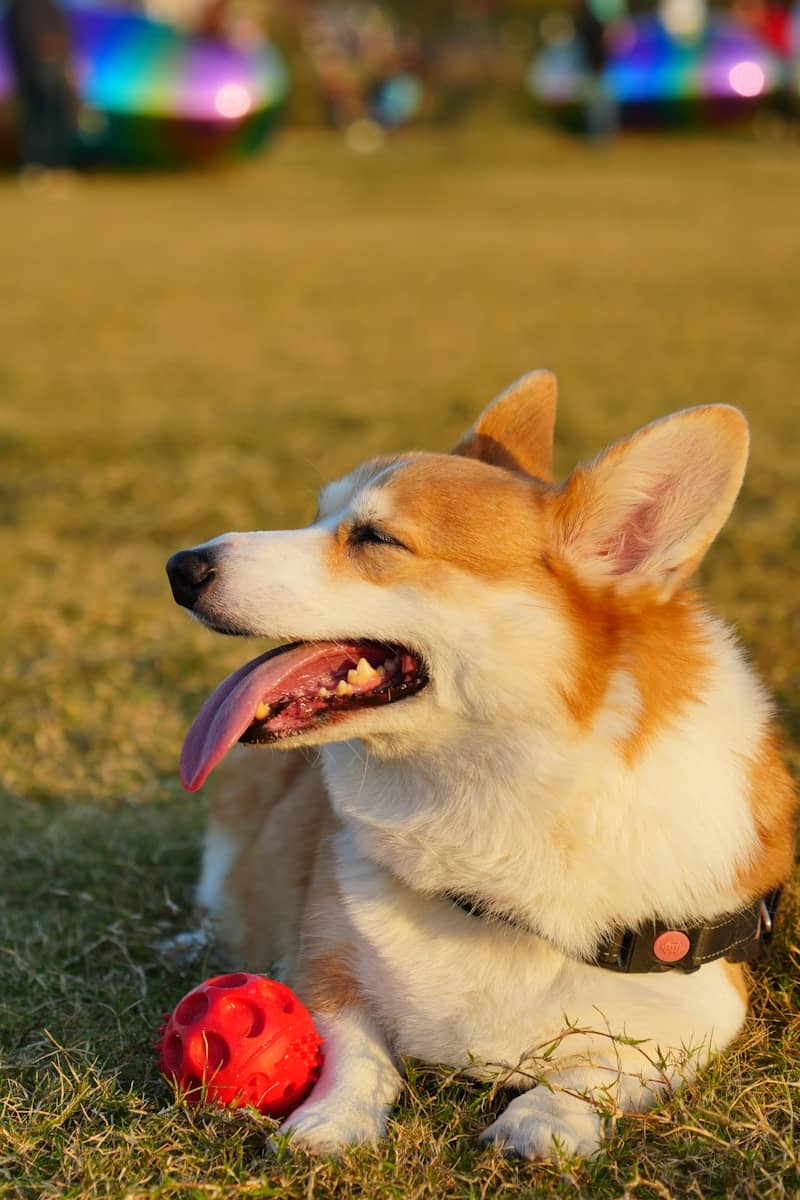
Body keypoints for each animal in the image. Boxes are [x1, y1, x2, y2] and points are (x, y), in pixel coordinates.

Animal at [164, 369, 796, 1156]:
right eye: (318, 517)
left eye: (374, 537)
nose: (179, 567)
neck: (497, 786)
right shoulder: (321, 963)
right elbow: (356, 1052)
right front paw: (330, 1121)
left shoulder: (707, 1001)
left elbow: (604, 1066)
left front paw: (545, 1120)